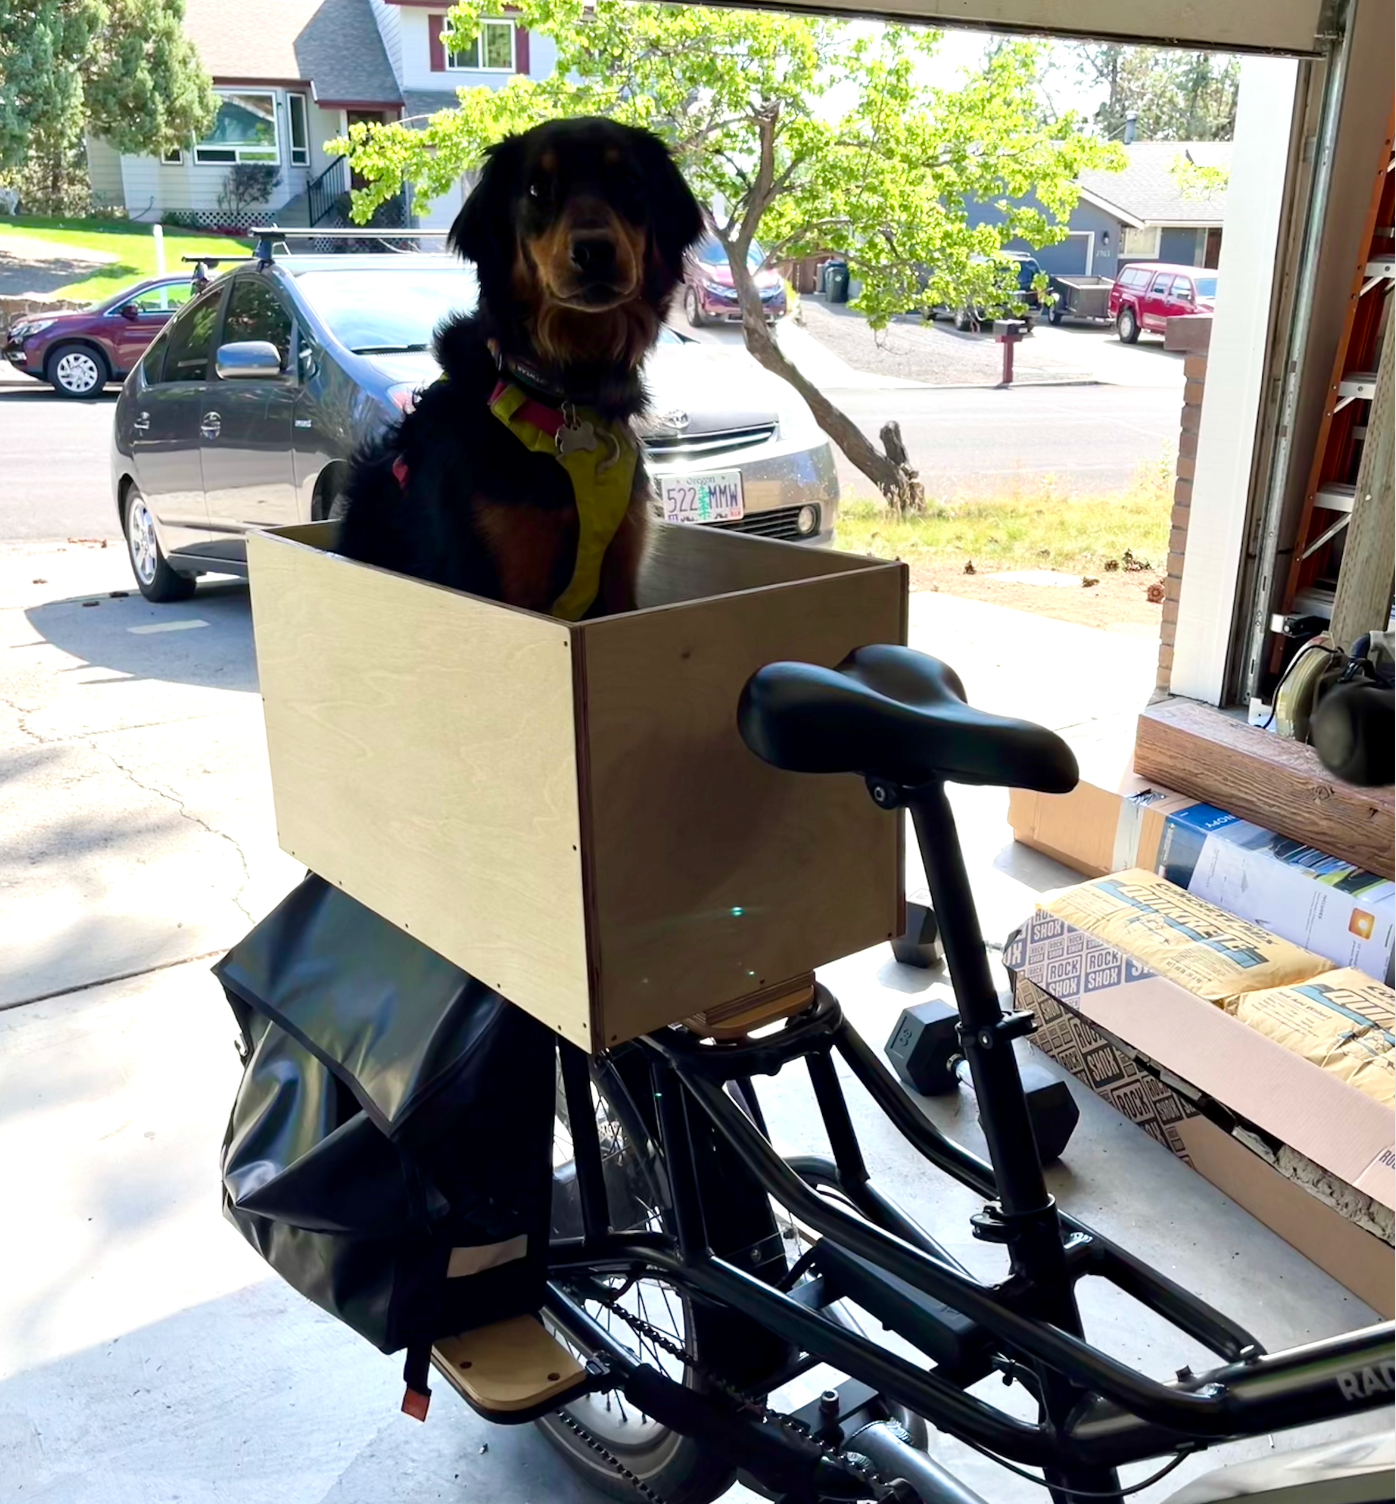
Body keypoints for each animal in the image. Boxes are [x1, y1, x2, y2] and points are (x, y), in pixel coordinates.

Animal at [338, 114, 710, 613]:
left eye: (630, 181)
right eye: (537, 189)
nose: (594, 252)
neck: (566, 388)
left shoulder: (620, 573)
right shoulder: (507, 581)